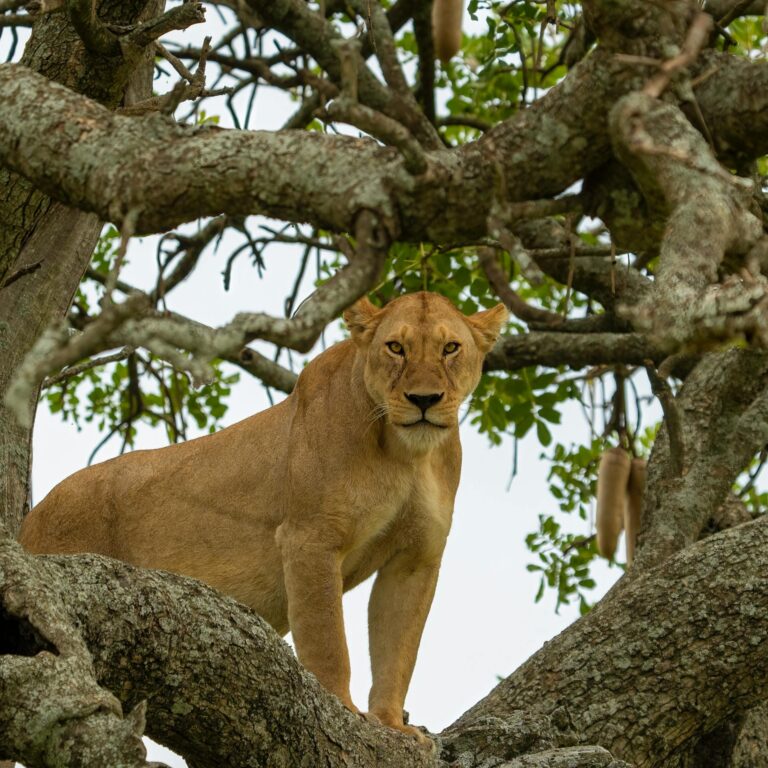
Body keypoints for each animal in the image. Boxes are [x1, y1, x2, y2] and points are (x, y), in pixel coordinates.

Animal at [19, 291, 508, 740]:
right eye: (395, 347)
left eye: (450, 348)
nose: (424, 399)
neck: (405, 454)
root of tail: (30, 518)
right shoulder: (310, 538)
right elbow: (328, 639)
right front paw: (341, 709)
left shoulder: (415, 558)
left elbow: (398, 651)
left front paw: (391, 726)